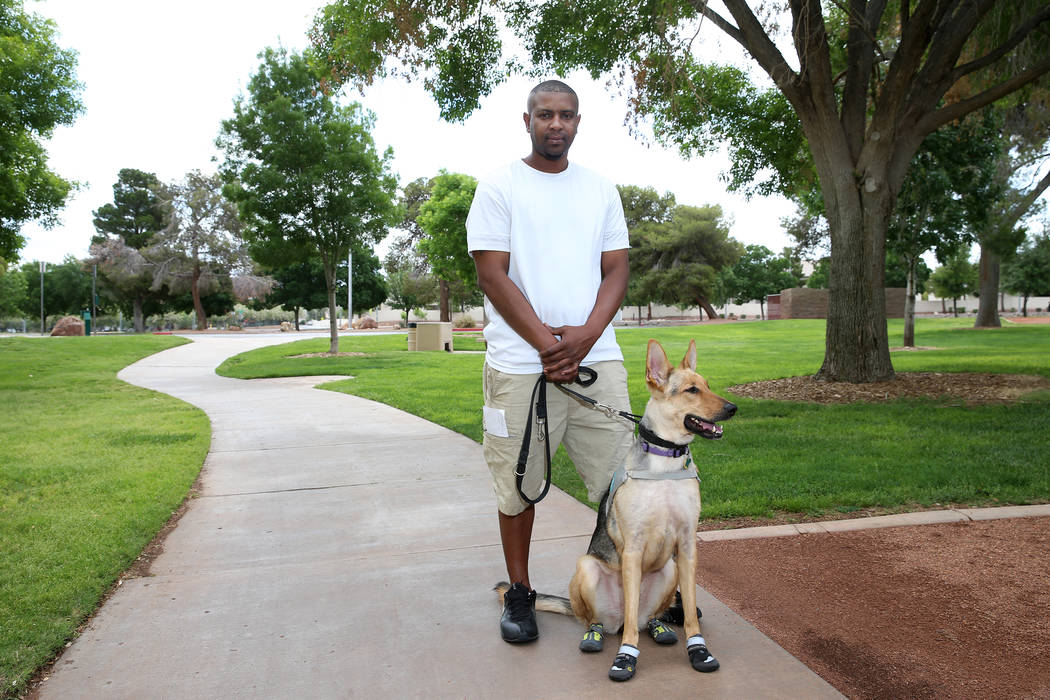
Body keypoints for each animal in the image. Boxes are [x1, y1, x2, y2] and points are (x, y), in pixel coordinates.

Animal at [495, 340, 734, 680]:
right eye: (691, 390)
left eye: (708, 385)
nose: (732, 408)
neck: (665, 464)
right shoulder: (633, 549)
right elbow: (631, 620)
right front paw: (626, 656)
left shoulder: (688, 547)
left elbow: (689, 613)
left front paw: (698, 650)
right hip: (587, 567)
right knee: (604, 619)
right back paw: (595, 635)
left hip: (670, 569)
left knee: (647, 617)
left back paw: (659, 627)